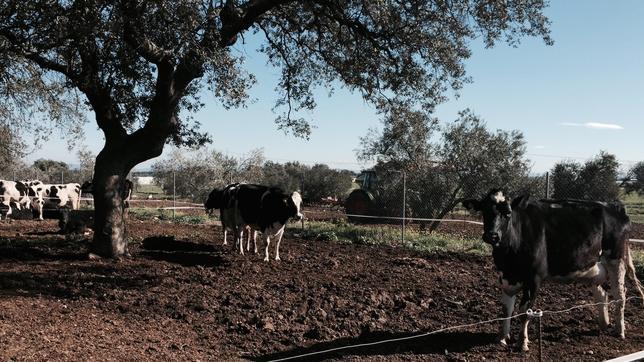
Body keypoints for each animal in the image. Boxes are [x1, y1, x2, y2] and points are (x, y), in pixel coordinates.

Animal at [462, 191, 644, 352]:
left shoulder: (533, 279)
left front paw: (522, 343)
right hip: (593, 268)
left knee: (620, 295)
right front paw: (501, 338)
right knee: (602, 294)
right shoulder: (506, 278)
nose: (492, 235)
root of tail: (614, 206)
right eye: (484, 211)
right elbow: (506, 309)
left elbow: (524, 312)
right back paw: (604, 324)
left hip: (616, 260)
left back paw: (619, 331)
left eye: (507, 213)